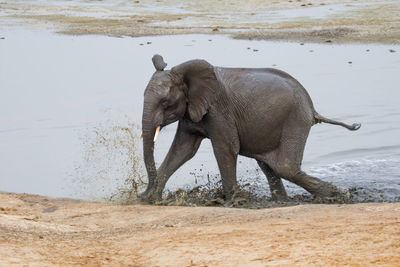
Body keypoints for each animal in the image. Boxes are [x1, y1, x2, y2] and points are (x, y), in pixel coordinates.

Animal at [140, 55, 360, 204]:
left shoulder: (219, 110)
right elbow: (183, 151)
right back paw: (284, 201)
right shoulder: (191, 111)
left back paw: (339, 196)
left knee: (285, 167)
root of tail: (312, 108)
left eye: (165, 102)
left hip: (295, 119)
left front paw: (232, 202)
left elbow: (226, 148)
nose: (142, 193)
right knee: (270, 166)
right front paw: (151, 199)